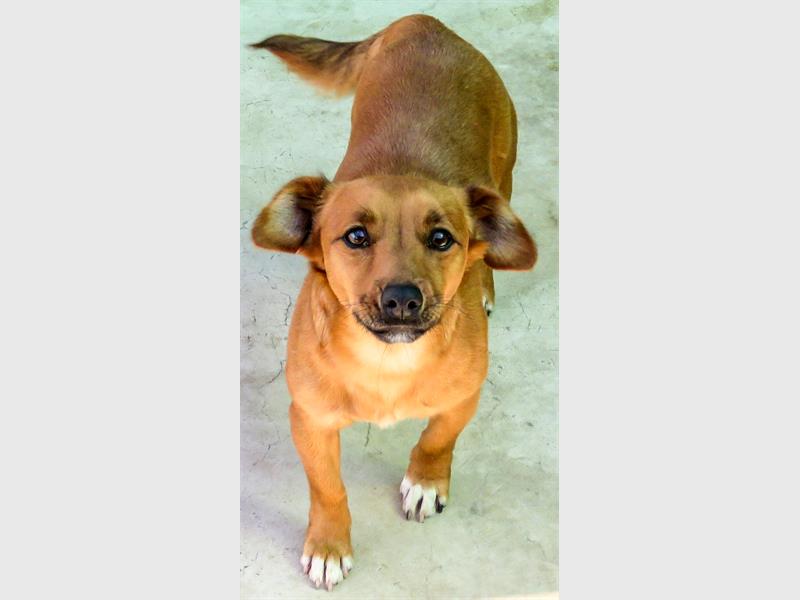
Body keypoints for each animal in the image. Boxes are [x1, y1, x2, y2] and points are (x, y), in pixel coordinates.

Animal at [250, 14, 537, 590]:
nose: (402, 299)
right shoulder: (310, 420)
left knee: (490, 248)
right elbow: (328, 489)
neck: (387, 362)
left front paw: (426, 480)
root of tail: (423, 23)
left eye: (443, 238)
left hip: (504, 174)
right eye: (356, 237)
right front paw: (329, 545)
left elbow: (437, 439)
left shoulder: (463, 398)